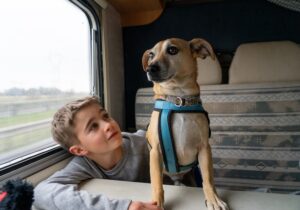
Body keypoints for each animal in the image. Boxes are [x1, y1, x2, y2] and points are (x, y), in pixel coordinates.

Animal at [142, 38, 229, 210]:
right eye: (151, 55)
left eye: (172, 50)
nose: (150, 68)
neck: (178, 101)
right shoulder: (155, 152)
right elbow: (157, 184)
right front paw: (157, 204)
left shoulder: (204, 149)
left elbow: (208, 179)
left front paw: (213, 199)